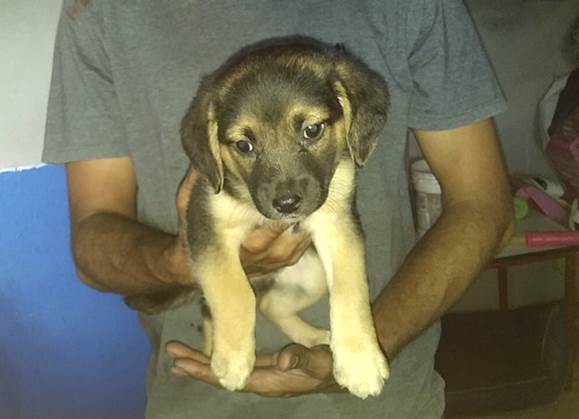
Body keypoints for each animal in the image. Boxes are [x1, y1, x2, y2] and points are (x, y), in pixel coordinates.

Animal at [127, 38, 390, 399]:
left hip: (312, 275)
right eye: (243, 145)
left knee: (269, 304)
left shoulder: (337, 223)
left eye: (312, 130)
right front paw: (233, 359)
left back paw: (313, 338)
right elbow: (234, 291)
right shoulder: (206, 226)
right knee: (219, 307)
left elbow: (351, 290)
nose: (287, 203)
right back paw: (212, 351)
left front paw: (360, 361)